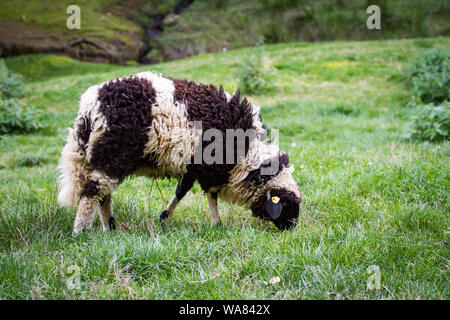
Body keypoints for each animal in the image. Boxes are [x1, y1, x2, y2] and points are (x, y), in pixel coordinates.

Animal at [57, 71, 302, 234]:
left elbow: (182, 190)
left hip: (105, 157)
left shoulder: (195, 166)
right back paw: (82, 231)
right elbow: (211, 195)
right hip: (113, 153)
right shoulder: (212, 167)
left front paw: (165, 217)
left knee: (102, 193)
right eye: (285, 203)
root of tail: (91, 106)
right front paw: (216, 223)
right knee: (93, 191)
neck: (246, 156)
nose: (292, 229)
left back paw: (109, 226)